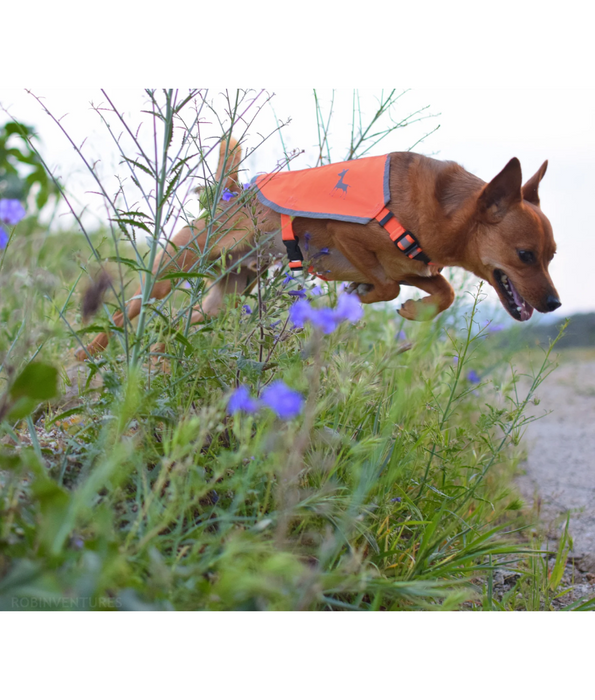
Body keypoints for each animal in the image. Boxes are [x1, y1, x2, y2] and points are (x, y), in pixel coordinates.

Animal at [73, 136, 560, 358]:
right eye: (525, 255)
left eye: (551, 256)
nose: (554, 303)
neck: (442, 209)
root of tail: (231, 193)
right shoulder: (348, 238)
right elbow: (387, 285)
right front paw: (370, 294)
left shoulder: (415, 267)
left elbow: (443, 290)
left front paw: (414, 311)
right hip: (169, 272)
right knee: (122, 315)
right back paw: (82, 358)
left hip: (225, 296)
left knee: (183, 321)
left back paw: (157, 353)